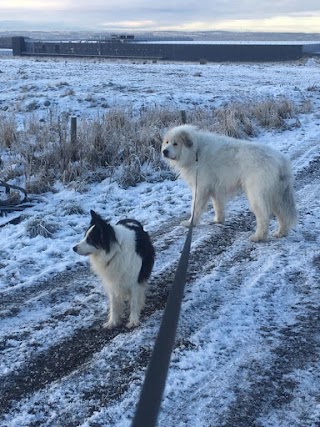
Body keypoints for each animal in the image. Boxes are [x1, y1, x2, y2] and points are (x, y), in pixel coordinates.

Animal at [162, 125, 298, 242]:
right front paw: (218, 220)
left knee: (264, 218)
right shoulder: (215, 189)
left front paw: (190, 223)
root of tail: (281, 160)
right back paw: (281, 233)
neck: (196, 150)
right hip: (277, 196)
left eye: (175, 143)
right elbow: (218, 206)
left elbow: (195, 208)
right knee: (283, 216)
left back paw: (258, 237)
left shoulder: (201, 188)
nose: (164, 151)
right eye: (167, 142)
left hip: (257, 195)